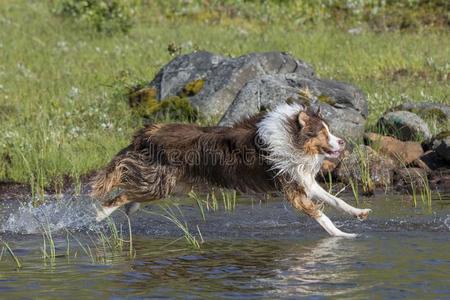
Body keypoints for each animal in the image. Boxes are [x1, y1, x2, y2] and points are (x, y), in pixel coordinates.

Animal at [89, 103, 370, 237]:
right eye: (322, 132)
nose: (342, 142)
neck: (291, 137)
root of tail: (150, 131)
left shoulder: (302, 180)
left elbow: (335, 200)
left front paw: (360, 213)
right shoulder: (293, 188)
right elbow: (320, 215)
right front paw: (343, 235)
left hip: (171, 183)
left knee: (133, 194)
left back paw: (129, 209)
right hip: (160, 181)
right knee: (121, 193)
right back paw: (100, 215)